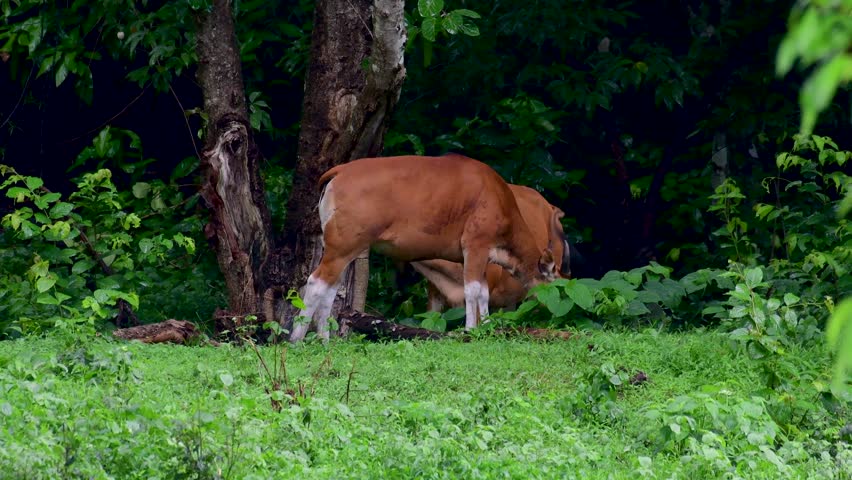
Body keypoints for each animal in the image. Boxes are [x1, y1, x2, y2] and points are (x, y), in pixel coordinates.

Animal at [288, 154, 558, 342]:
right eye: (554, 280)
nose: (552, 305)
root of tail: (340, 170)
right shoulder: (475, 245)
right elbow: (472, 291)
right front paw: (471, 330)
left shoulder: (480, 256)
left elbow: (483, 292)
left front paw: (486, 326)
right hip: (342, 246)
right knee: (315, 283)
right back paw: (296, 339)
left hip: (345, 250)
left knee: (331, 289)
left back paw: (324, 340)